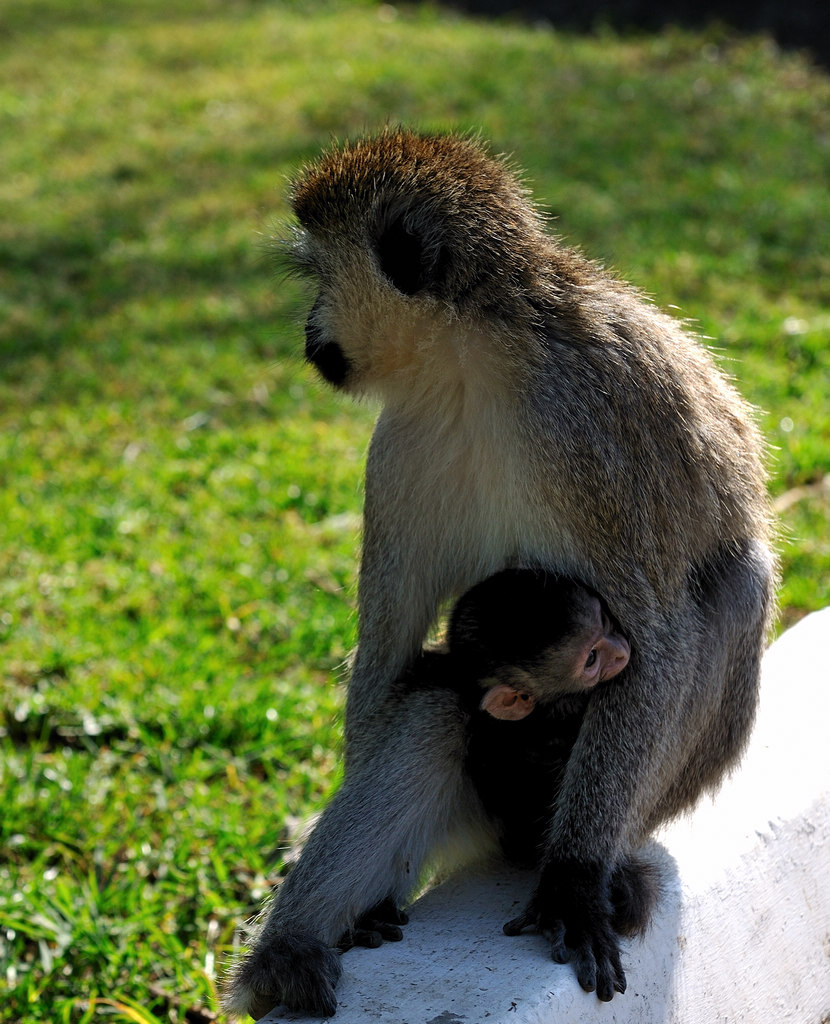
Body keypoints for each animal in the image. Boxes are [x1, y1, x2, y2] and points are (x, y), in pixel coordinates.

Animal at [222, 128, 777, 1015]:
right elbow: (388, 649)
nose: (307, 332)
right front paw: (358, 910)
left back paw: (599, 868)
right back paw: (288, 953)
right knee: (433, 704)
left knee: (727, 591)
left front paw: (576, 883)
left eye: (316, 278)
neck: (475, 361)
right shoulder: (401, 445)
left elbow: (658, 636)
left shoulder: (592, 424)